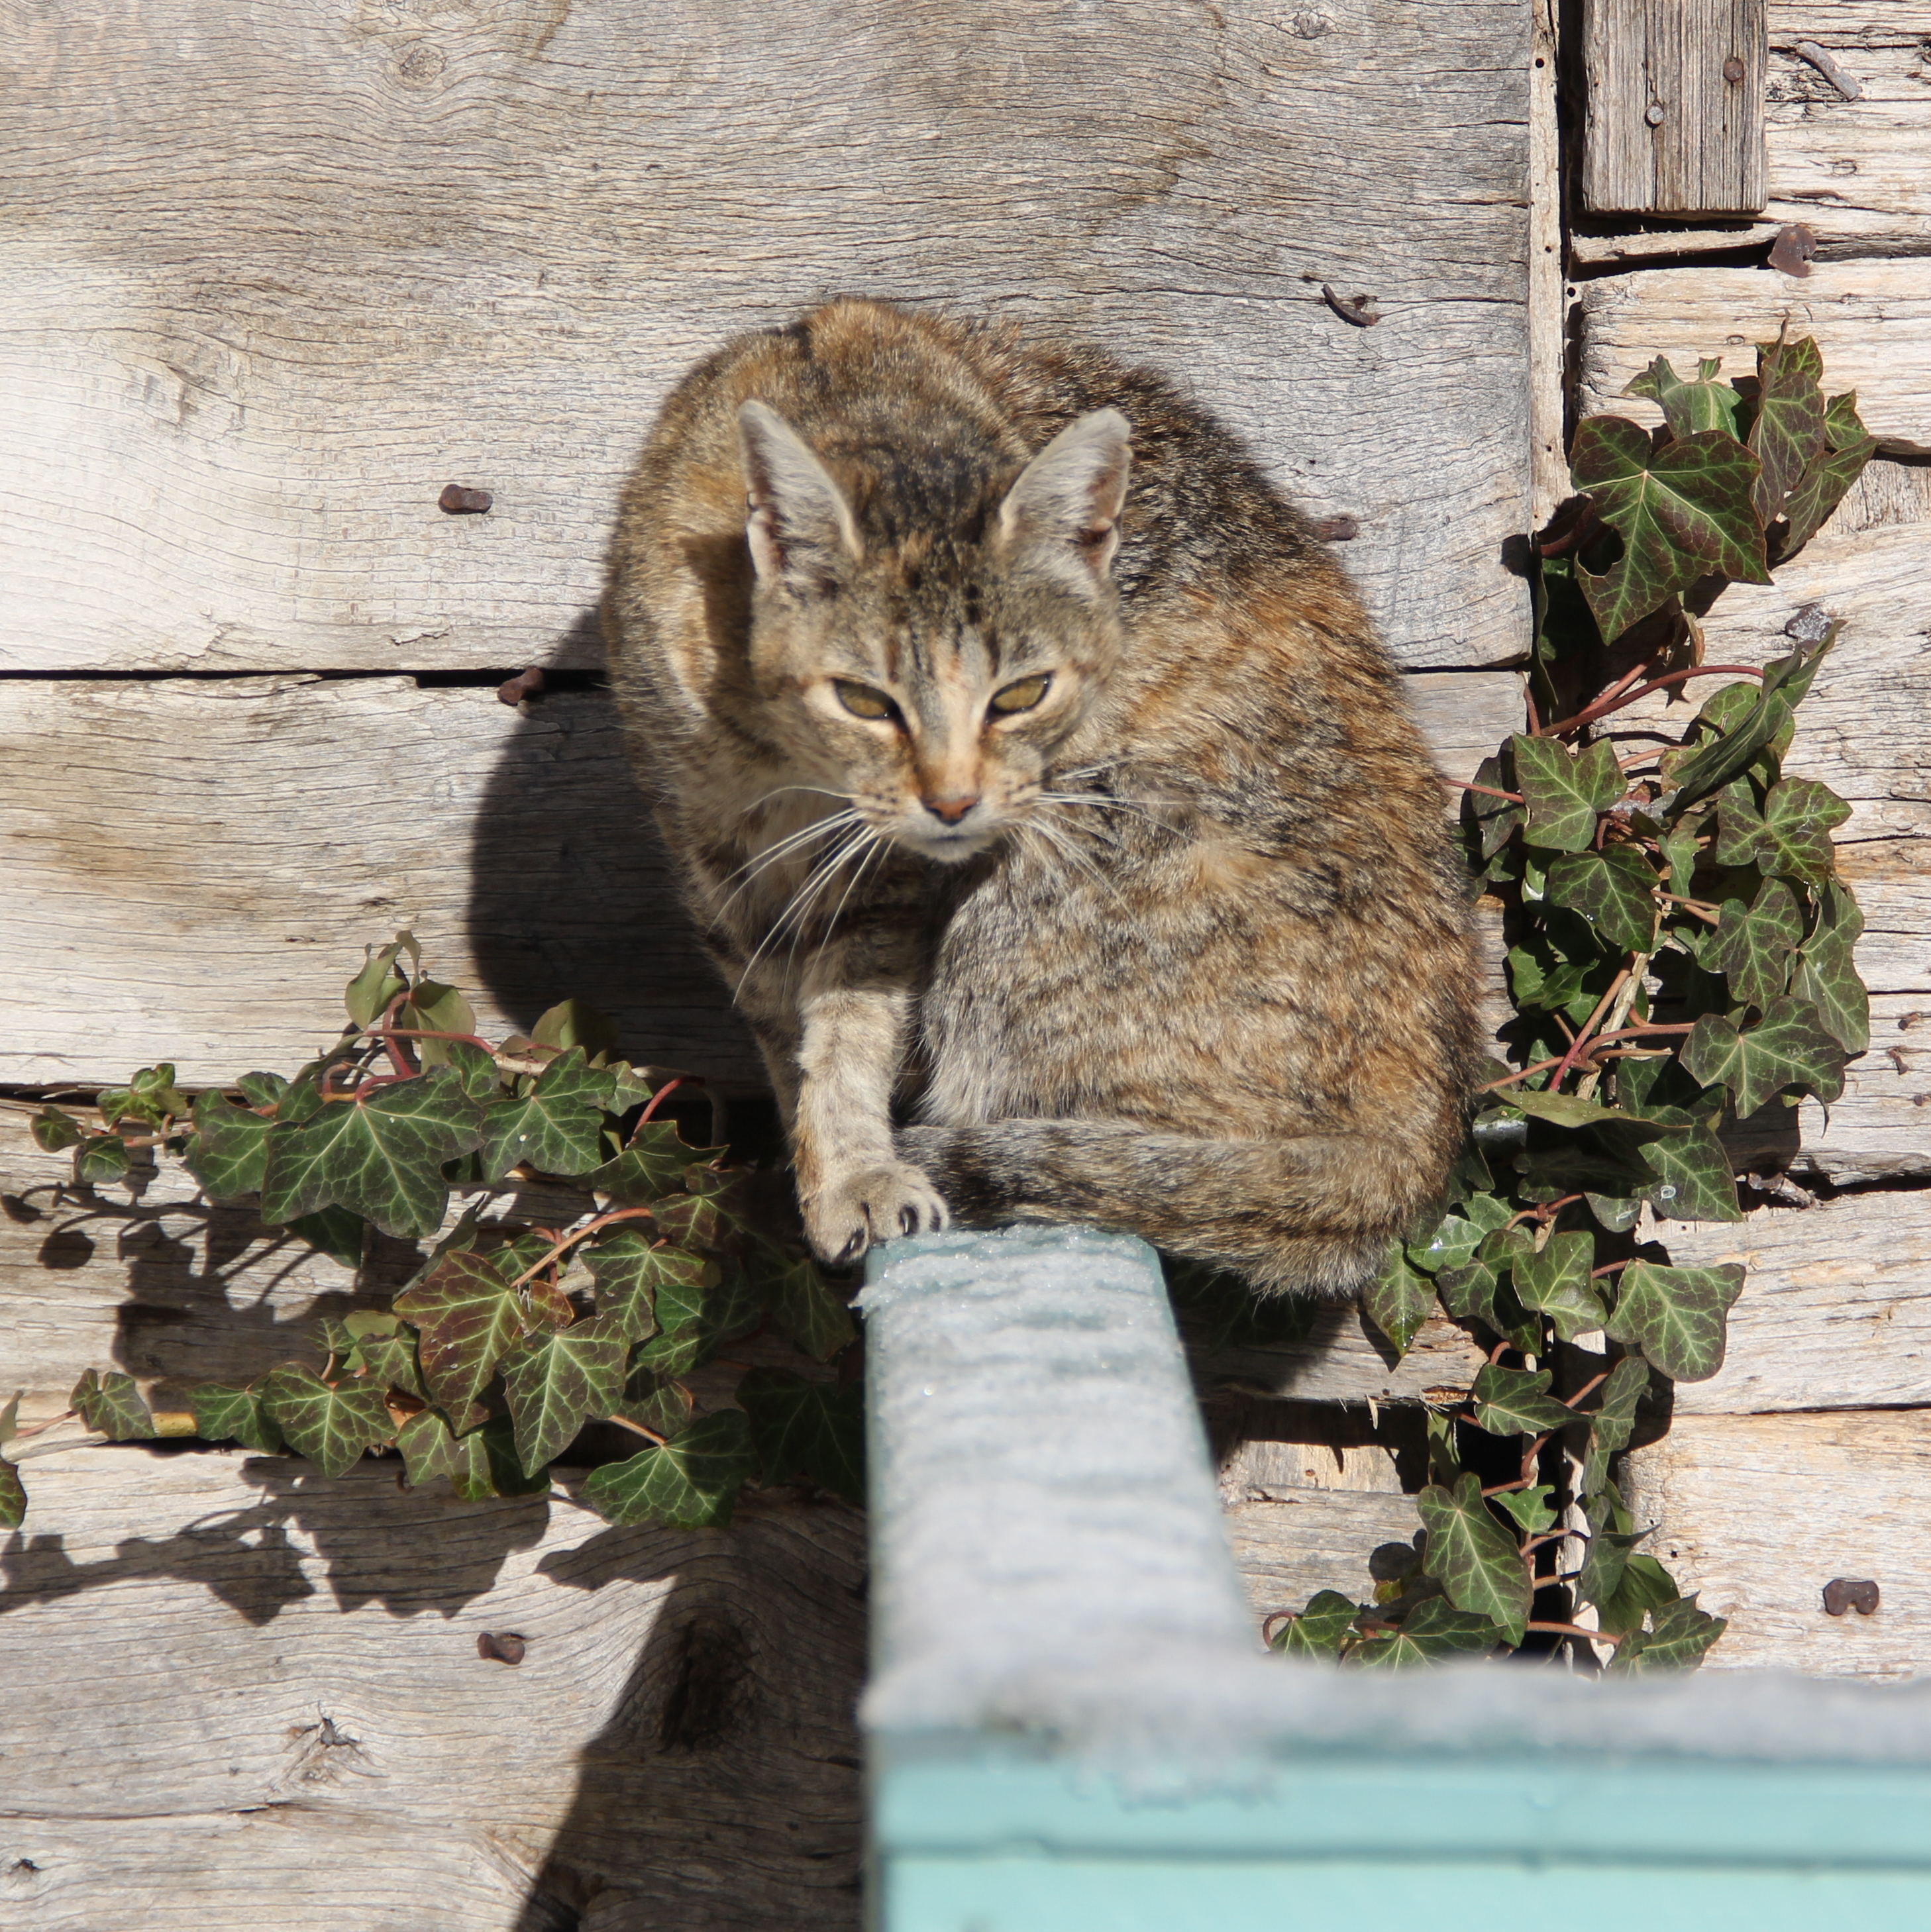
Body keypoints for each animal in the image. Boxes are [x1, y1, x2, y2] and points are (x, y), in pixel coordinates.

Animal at [603, 301, 1477, 1298]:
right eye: (865, 701)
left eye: (1020, 694)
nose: (951, 802)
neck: (783, 764)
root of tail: (1421, 1142)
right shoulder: (709, 844)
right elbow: (780, 1021)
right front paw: (820, 1162)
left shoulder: (882, 886)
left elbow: (848, 1025)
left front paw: (853, 1167)